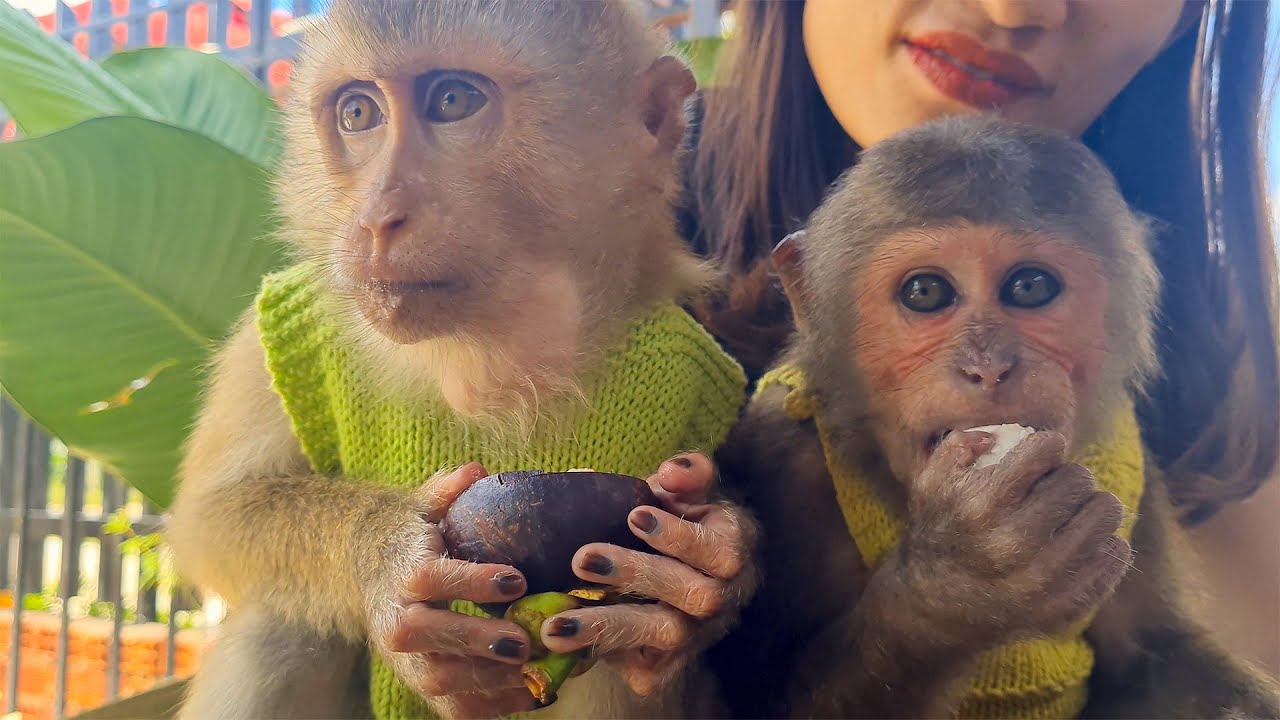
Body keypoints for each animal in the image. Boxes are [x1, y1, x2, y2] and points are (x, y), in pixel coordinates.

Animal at [164, 2, 758, 719]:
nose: (377, 220)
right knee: (280, 622)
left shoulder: (699, 360)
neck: (487, 356)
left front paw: (716, 551)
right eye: (357, 114)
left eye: (454, 101)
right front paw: (385, 551)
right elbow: (214, 518)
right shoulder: (284, 320)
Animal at [704, 114, 1280, 719]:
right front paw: (959, 584)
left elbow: (1150, 655)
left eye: (1029, 286)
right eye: (925, 291)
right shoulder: (785, 453)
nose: (988, 367)